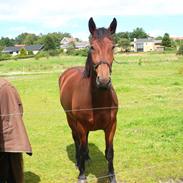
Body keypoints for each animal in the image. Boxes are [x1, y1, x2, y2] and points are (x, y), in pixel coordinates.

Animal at [59, 17, 118, 183]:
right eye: (92, 47)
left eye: (112, 47)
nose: (103, 81)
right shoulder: (81, 125)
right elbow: (81, 145)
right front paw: (82, 175)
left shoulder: (111, 126)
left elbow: (109, 152)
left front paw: (112, 176)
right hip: (71, 120)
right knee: (77, 141)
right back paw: (79, 161)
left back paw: (86, 158)